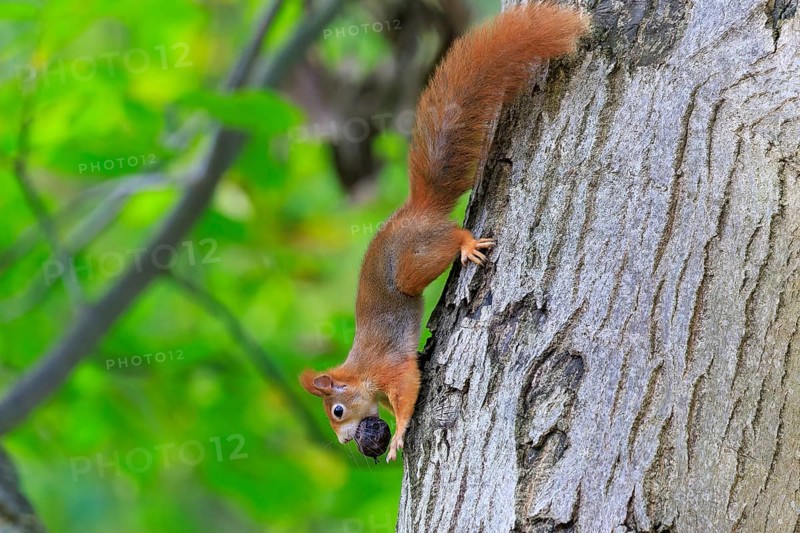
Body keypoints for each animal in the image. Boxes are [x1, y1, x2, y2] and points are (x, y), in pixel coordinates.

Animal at [300, 2, 588, 462]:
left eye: (338, 411)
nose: (347, 442)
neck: (360, 371)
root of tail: (416, 210)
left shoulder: (388, 368)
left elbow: (406, 390)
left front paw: (398, 435)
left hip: (413, 262)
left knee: (450, 240)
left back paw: (467, 244)